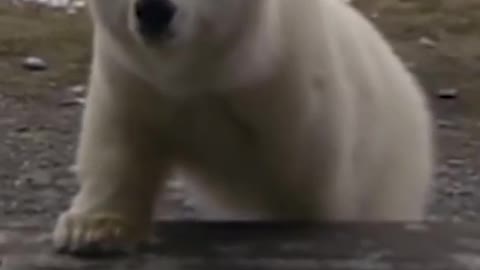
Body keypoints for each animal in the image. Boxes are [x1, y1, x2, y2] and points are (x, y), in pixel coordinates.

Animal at [52, 0, 436, 254]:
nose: (154, 11)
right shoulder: (134, 79)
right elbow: (119, 140)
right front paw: (89, 230)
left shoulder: (293, 92)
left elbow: (314, 190)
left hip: (394, 164)